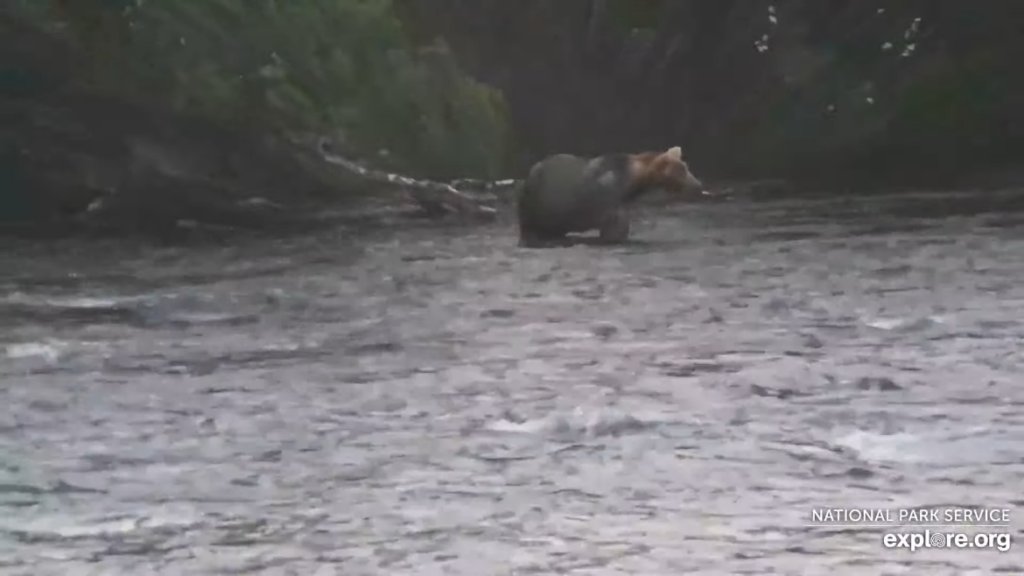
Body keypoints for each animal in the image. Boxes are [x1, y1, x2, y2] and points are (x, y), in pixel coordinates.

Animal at [512, 144, 704, 245]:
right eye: (681, 170)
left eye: (685, 166)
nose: (698, 185)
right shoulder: (608, 205)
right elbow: (615, 230)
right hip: (533, 203)